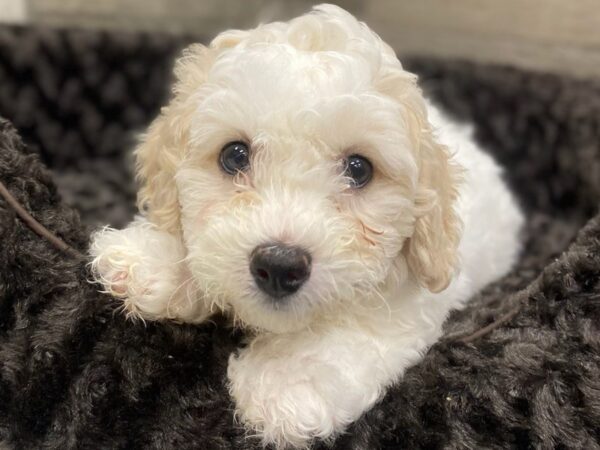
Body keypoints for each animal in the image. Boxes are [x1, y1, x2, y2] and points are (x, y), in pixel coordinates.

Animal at [88, 5, 520, 448]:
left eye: (359, 169)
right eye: (234, 155)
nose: (279, 264)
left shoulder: (411, 300)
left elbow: (356, 326)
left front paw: (284, 380)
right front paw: (152, 259)